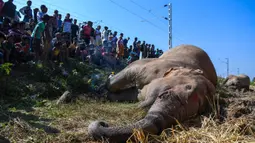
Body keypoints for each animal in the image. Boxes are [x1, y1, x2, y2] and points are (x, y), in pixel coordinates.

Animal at [87, 44, 217, 142]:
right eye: (188, 87)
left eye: (199, 109)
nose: (103, 123)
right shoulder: (153, 67)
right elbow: (129, 72)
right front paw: (102, 89)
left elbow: (132, 94)